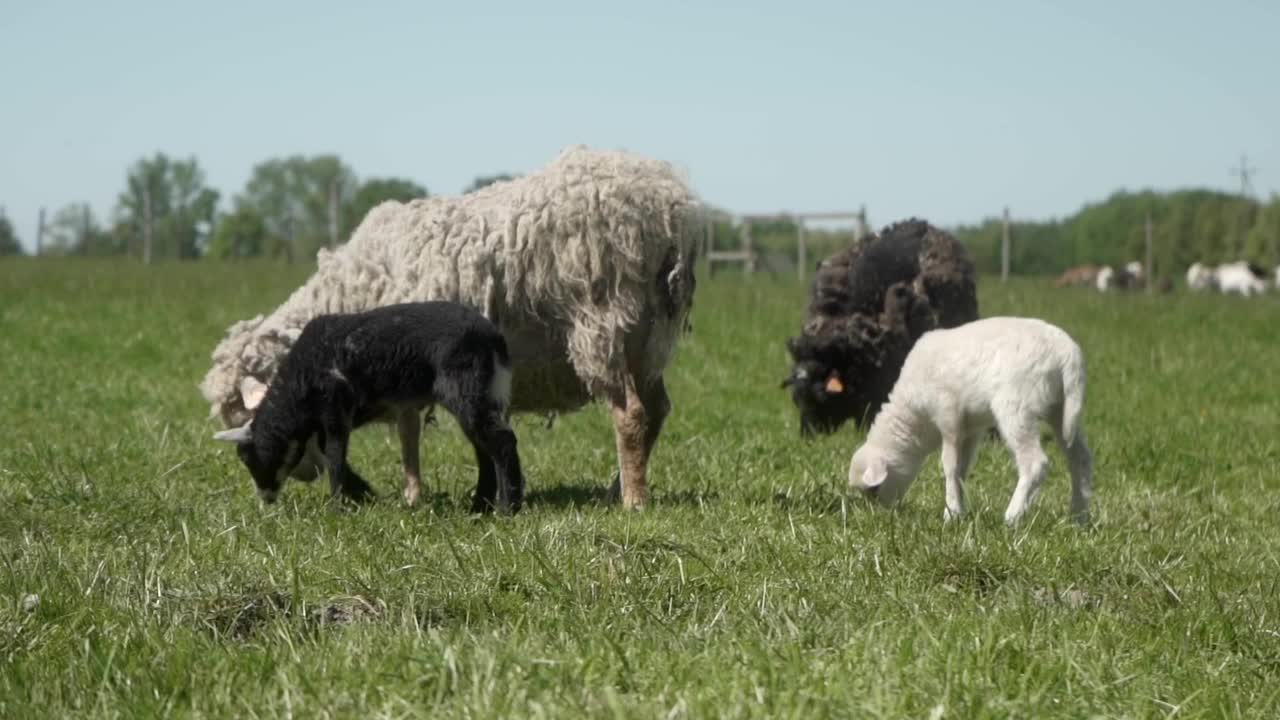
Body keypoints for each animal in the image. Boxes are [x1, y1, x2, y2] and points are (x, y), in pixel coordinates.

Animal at [215, 299, 524, 512]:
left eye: (247, 457)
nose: (265, 499)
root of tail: (494, 339)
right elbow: (329, 452)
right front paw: (363, 493)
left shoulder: (335, 406)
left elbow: (335, 456)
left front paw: (338, 506)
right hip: (482, 394)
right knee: (484, 449)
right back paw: (480, 506)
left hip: (467, 390)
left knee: (502, 442)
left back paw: (508, 508)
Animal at [844, 316, 1095, 525]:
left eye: (874, 490)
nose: (880, 516)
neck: (914, 417)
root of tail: (1067, 354)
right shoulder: (971, 427)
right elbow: (962, 468)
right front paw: (960, 510)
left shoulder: (947, 413)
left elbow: (949, 466)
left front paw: (951, 513)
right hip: (1061, 409)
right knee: (1080, 458)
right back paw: (1078, 518)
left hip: (1016, 405)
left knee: (1035, 462)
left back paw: (1012, 517)